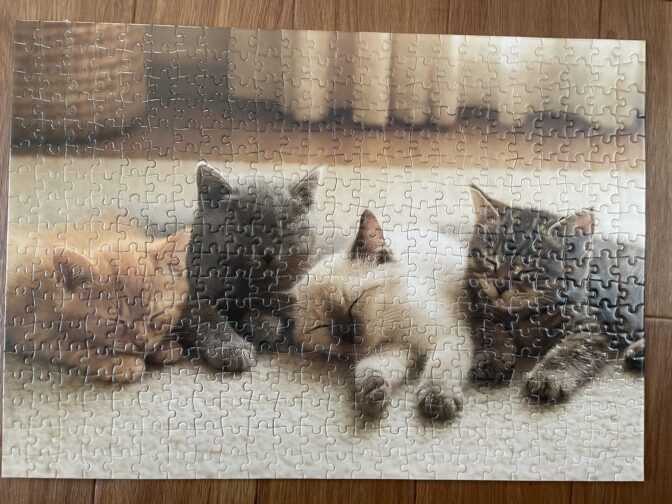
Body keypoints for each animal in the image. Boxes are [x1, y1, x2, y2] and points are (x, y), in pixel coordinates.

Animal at [5, 219, 191, 382]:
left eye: (156, 315)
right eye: (116, 321)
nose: (141, 341)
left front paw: (162, 347)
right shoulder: (30, 329)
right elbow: (71, 347)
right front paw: (116, 362)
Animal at [176, 162, 321, 372]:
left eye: (285, 227)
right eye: (246, 227)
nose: (268, 252)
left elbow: (264, 304)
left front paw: (265, 324)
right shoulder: (189, 295)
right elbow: (209, 319)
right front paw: (231, 348)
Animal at [287, 210, 471, 421]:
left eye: (354, 303)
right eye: (322, 327)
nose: (348, 335)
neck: (393, 329)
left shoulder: (449, 336)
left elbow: (440, 367)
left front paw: (437, 398)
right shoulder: (395, 347)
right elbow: (373, 366)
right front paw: (372, 391)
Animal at [465, 185, 645, 402]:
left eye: (527, 270)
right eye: (491, 260)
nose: (499, 285)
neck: (524, 314)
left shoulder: (590, 327)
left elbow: (568, 352)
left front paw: (549, 377)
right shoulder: (478, 307)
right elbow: (492, 333)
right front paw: (492, 360)